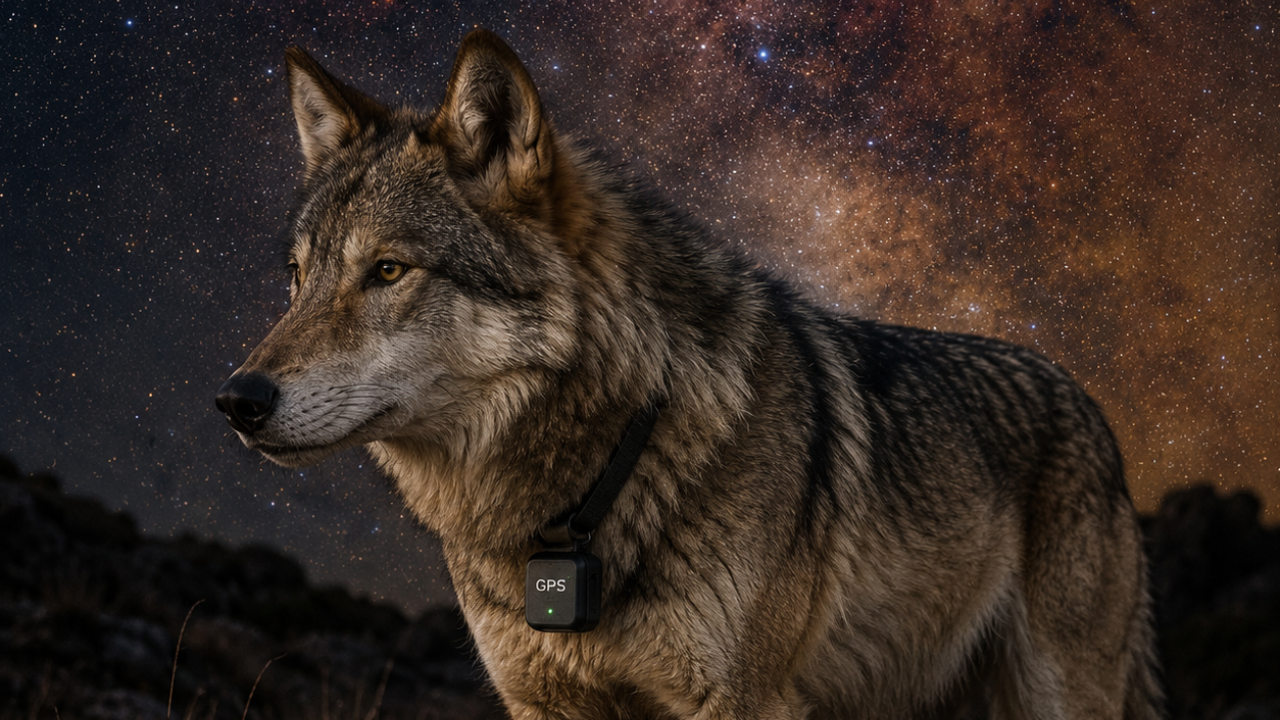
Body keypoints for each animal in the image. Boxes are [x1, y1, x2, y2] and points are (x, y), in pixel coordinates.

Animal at [215, 29, 1162, 719]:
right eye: (298, 279)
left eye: (387, 271)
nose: (236, 399)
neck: (580, 498)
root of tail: (1087, 401)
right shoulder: (545, 704)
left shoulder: (740, 701)